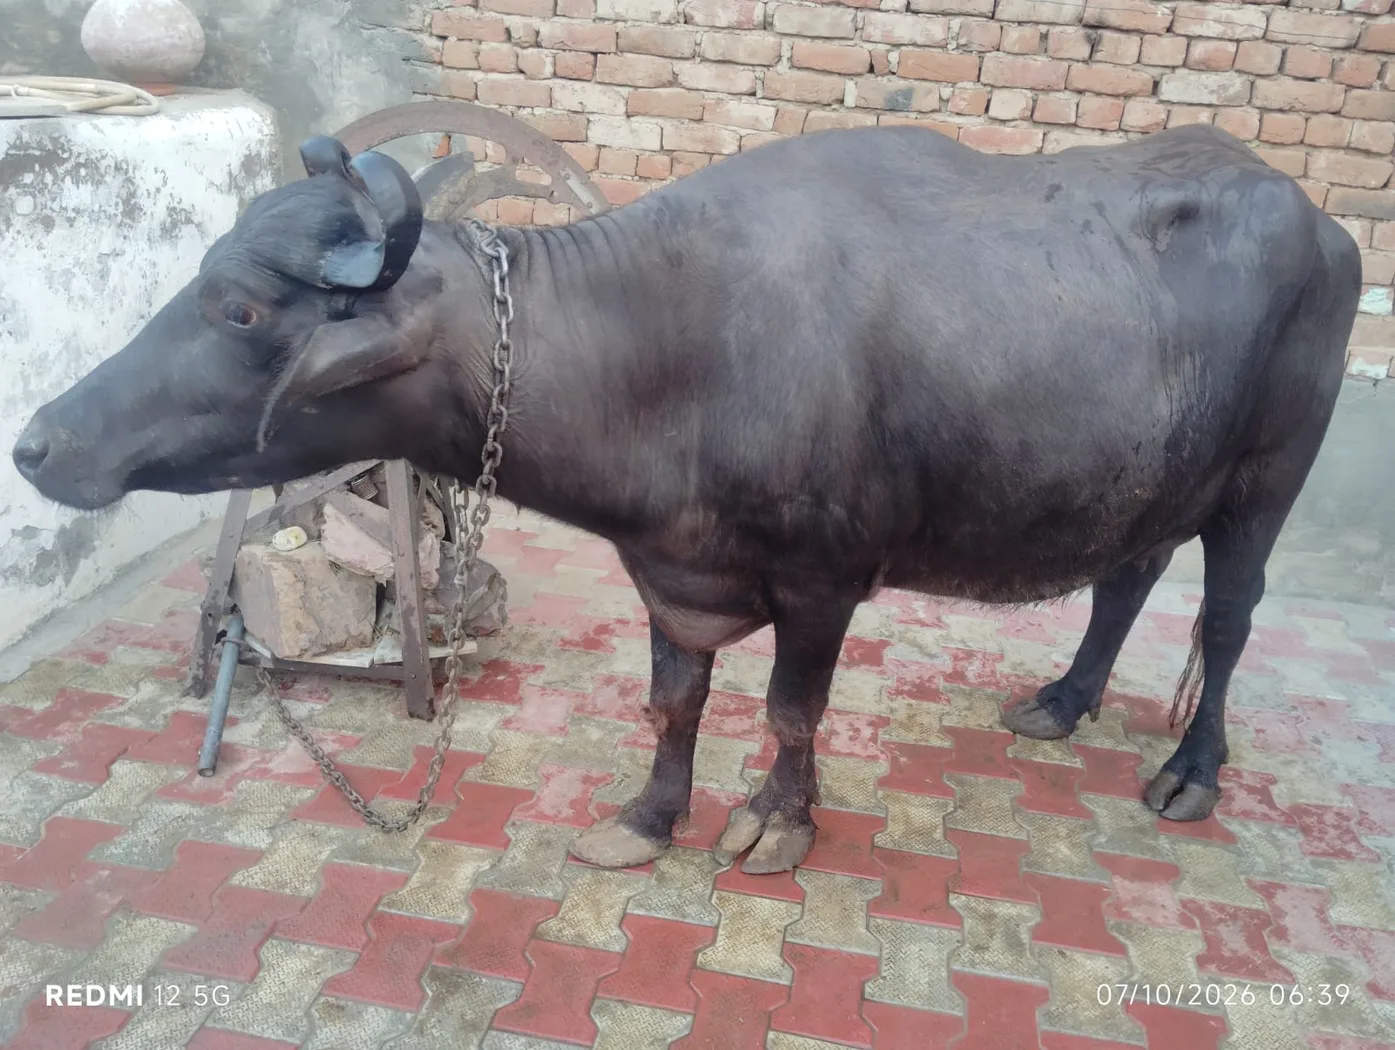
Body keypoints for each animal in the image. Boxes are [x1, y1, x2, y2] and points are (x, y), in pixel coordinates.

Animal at [13, 124, 1360, 874]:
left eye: (241, 309)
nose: (37, 442)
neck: (676, 343)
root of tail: (1323, 225)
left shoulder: (824, 580)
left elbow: (789, 713)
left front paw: (773, 825)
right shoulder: (671, 568)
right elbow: (674, 705)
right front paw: (650, 820)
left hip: (1267, 482)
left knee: (1226, 618)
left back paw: (1190, 771)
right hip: (1149, 478)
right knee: (1127, 579)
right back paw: (1064, 702)